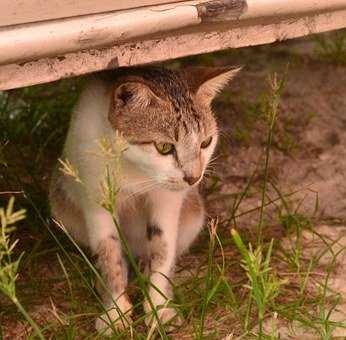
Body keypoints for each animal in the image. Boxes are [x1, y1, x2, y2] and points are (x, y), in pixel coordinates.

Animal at [49, 65, 241, 334]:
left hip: (194, 213)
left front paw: (159, 307)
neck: (136, 172)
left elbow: (162, 249)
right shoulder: (97, 197)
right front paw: (115, 312)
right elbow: (109, 254)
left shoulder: (168, 200)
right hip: (62, 204)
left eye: (206, 143)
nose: (193, 177)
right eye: (164, 147)